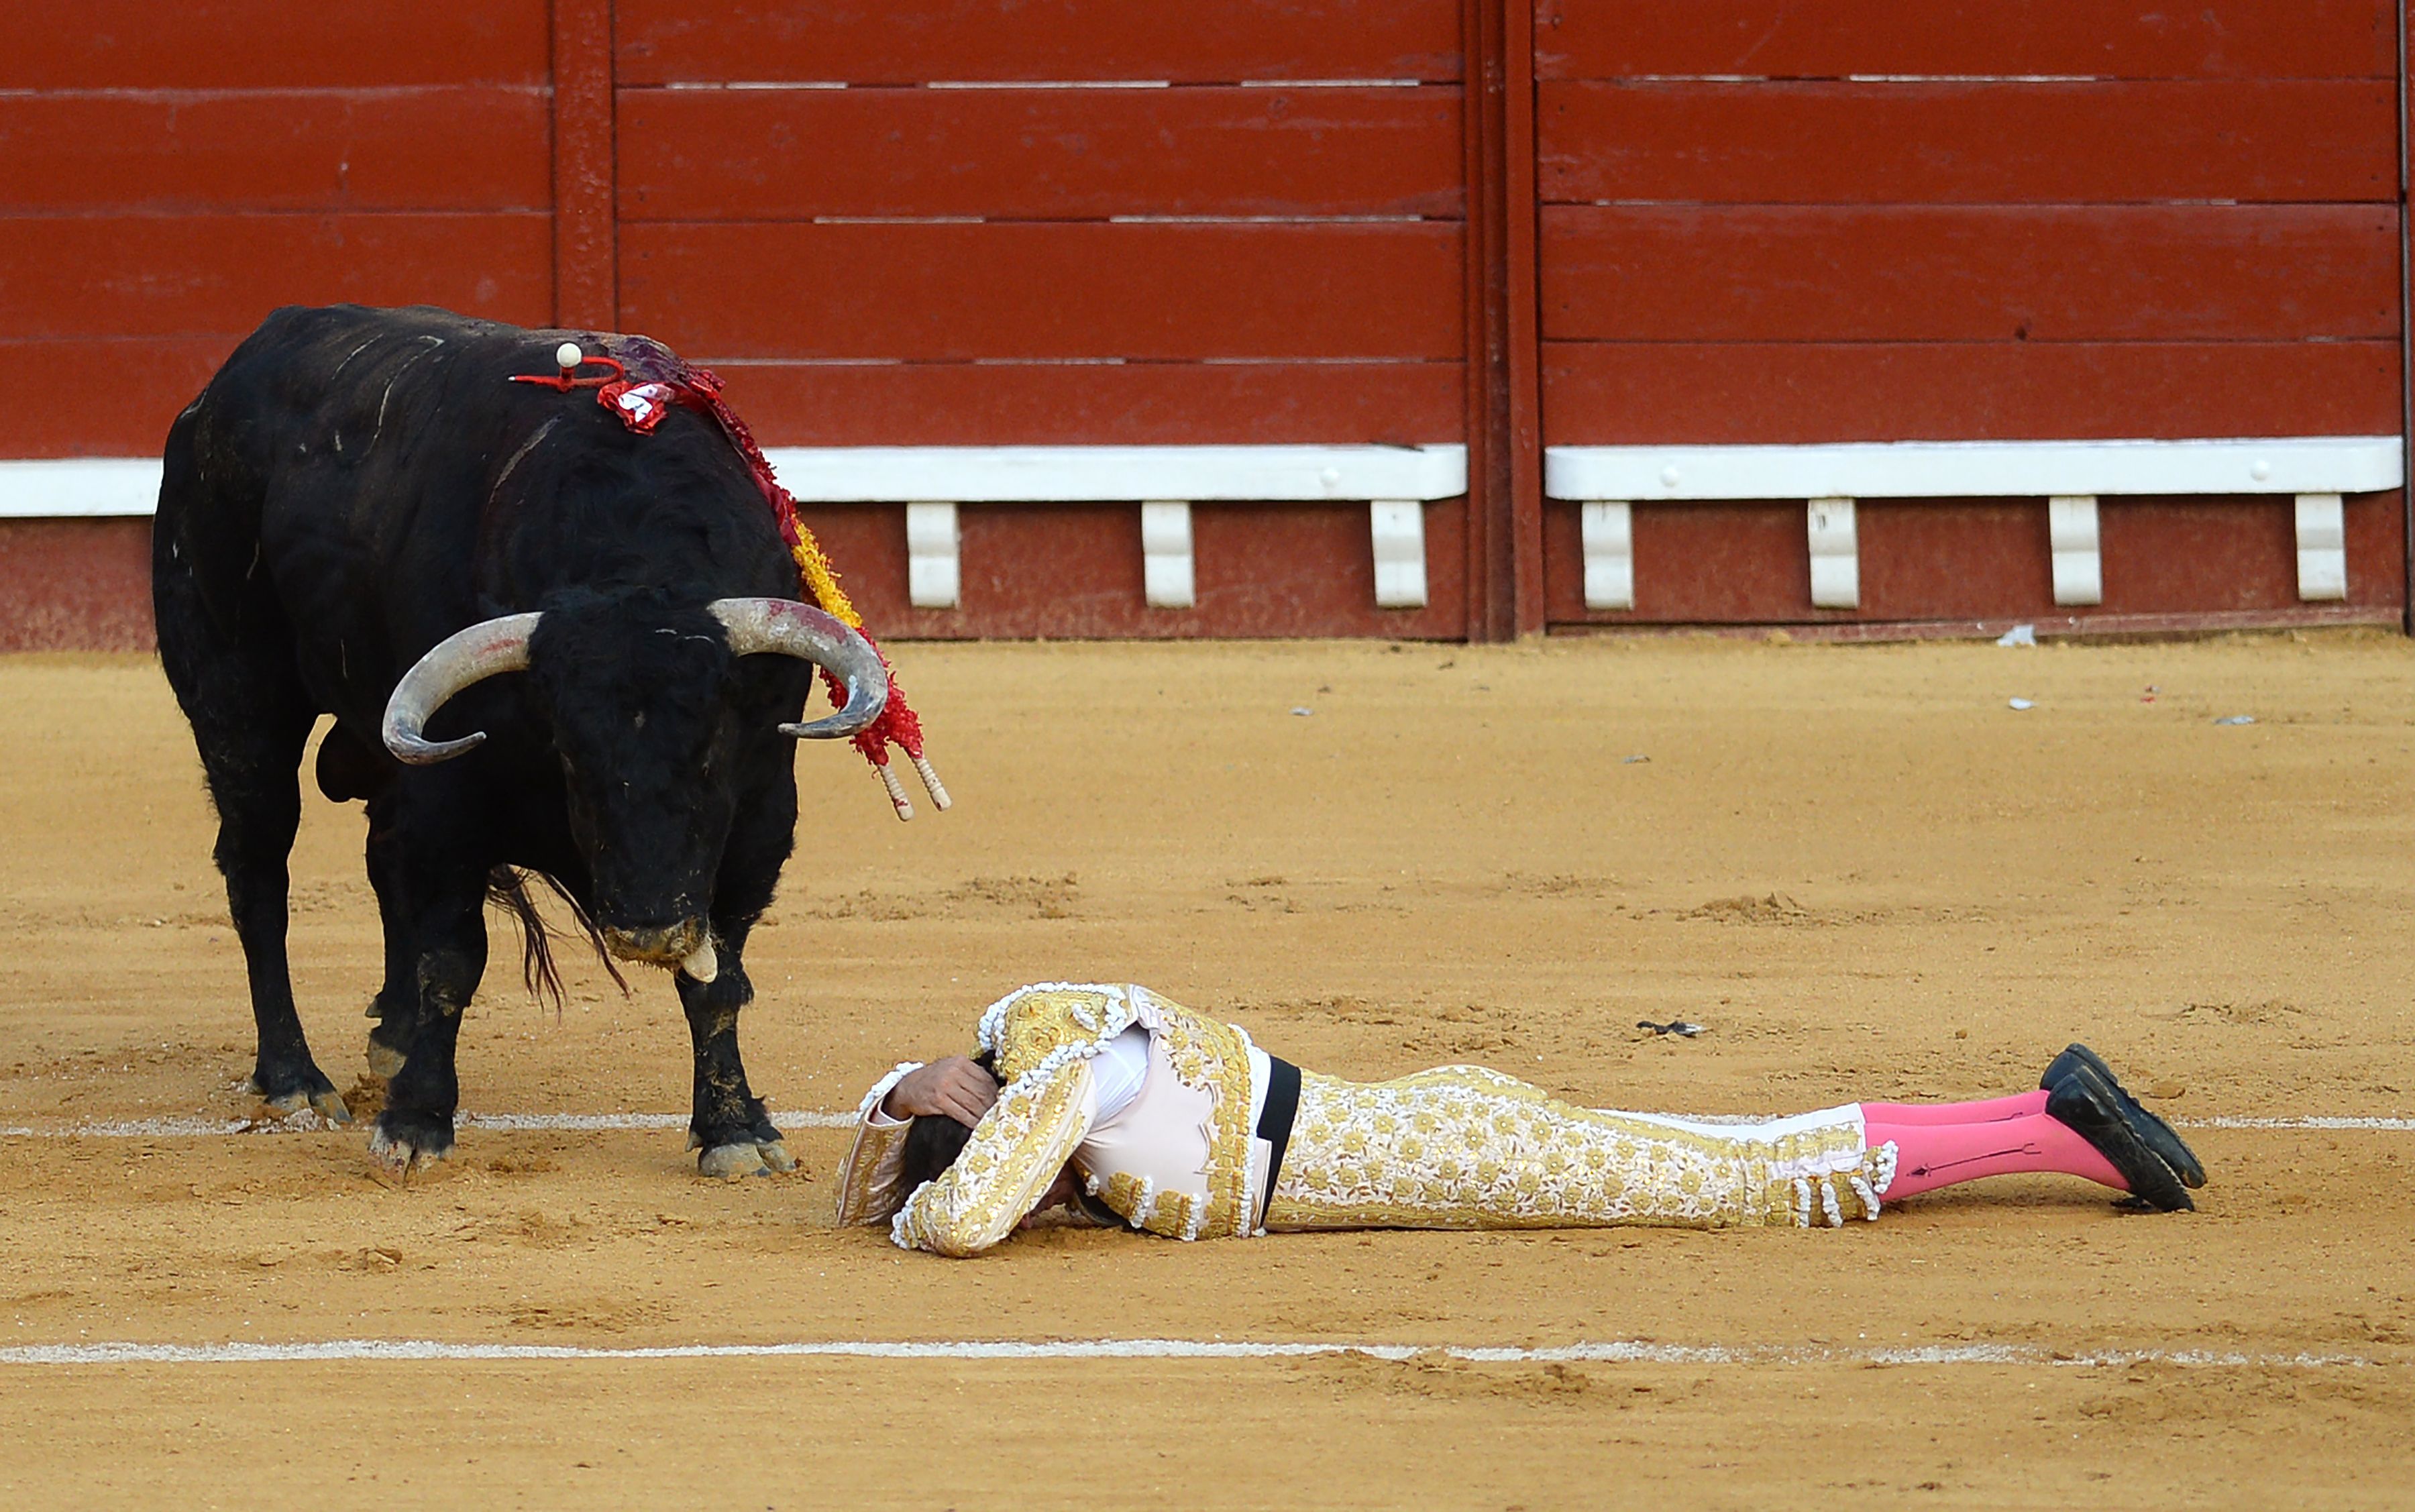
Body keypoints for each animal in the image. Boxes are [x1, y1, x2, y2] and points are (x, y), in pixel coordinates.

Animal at [158, 303, 898, 1179]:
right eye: (568, 752)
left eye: (712, 750)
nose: (649, 931)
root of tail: (216, 393)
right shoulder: (451, 798)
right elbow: (452, 958)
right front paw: (415, 1123)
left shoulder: (760, 816)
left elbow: (720, 977)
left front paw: (734, 1128)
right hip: (238, 694)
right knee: (259, 871)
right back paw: (294, 1079)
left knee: (379, 857)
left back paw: (391, 1035)